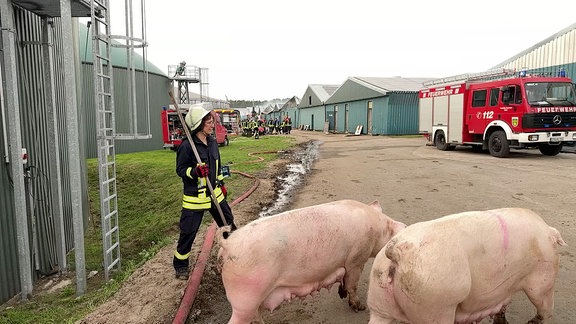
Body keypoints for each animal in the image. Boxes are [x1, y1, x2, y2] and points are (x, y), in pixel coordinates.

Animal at [215, 199, 404, 322]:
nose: (404, 225)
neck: (376, 227)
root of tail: (228, 243)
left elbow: (344, 281)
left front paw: (341, 293)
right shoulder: (356, 259)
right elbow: (352, 284)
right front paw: (359, 308)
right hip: (244, 299)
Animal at [366, 208, 564, 324]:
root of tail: (396, 250)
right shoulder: (541, 278)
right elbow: (544, 307)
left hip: (378, 301)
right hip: (436, 303)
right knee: (546, 308)